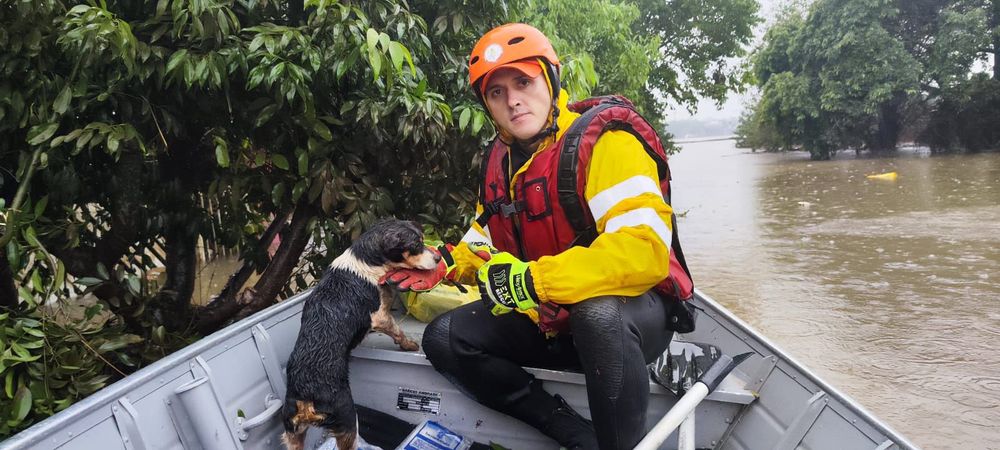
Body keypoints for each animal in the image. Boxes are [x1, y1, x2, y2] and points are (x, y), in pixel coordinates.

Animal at [280, 219, 440, 450]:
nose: (439, 258)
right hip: (348, 420)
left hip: (292, 434)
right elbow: (397, 331)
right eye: (416, 245)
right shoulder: (380, 316)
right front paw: (409, 345)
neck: (367, 260)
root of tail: (306, 396)